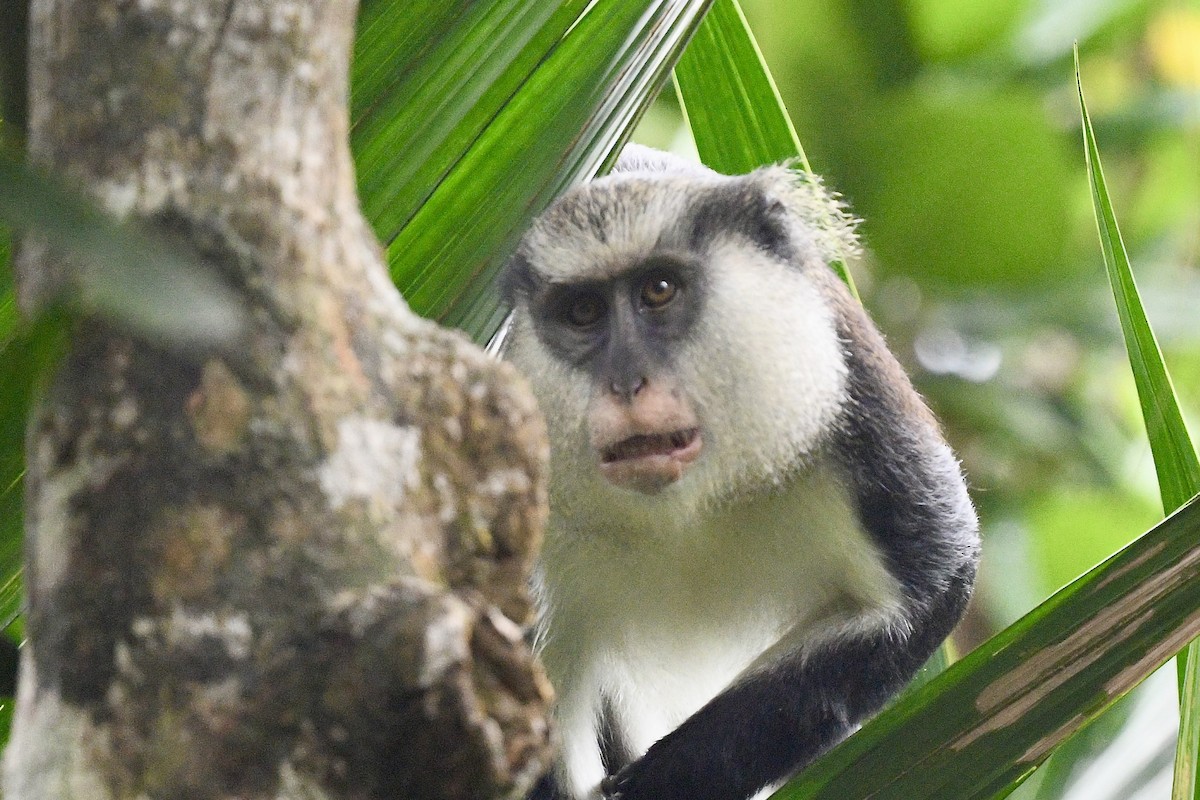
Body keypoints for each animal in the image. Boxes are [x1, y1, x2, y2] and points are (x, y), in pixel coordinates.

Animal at [499, 144, 979, 800]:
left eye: (659, 290)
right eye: (583, 311)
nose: (626, 383)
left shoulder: (863, 417)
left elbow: (924, 592)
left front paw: (659, 783)